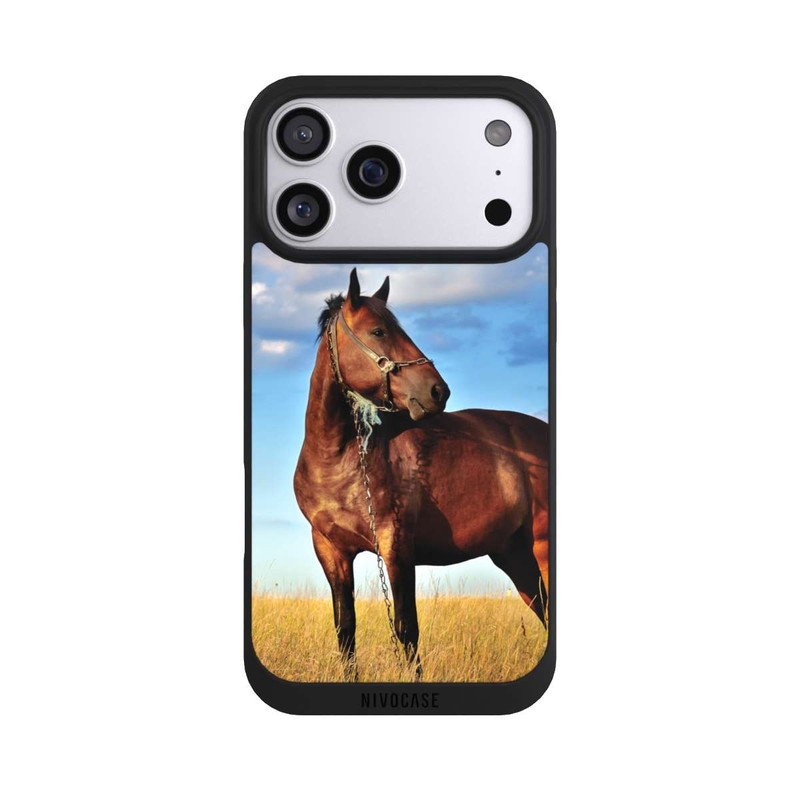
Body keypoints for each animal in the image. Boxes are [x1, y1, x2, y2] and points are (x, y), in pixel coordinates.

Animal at [293, 268, 549, 677]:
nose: (437, 391)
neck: (338, 458)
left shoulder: (396, 546)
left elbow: (406, 629)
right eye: (378, 331)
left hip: (541, 549)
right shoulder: (330, 550)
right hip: (515, 557)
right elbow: (345, 629)